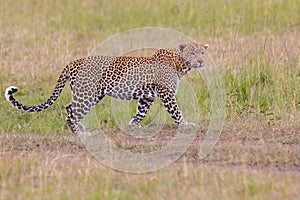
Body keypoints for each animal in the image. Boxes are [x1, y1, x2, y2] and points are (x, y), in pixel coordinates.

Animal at [5, 42, 210, 135]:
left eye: (202, 52)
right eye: (193, 53)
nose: (201, 61)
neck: (180, 65)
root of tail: (72, 62)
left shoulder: (147, 96)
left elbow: (141, 111)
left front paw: (133, 126)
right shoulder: (166, 93)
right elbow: (176, 111)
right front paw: (185, 124)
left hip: (92, 94)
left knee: (70, 108)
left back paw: (81, 128)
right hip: (87, 95)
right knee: (70, 113)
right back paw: (80, 133)